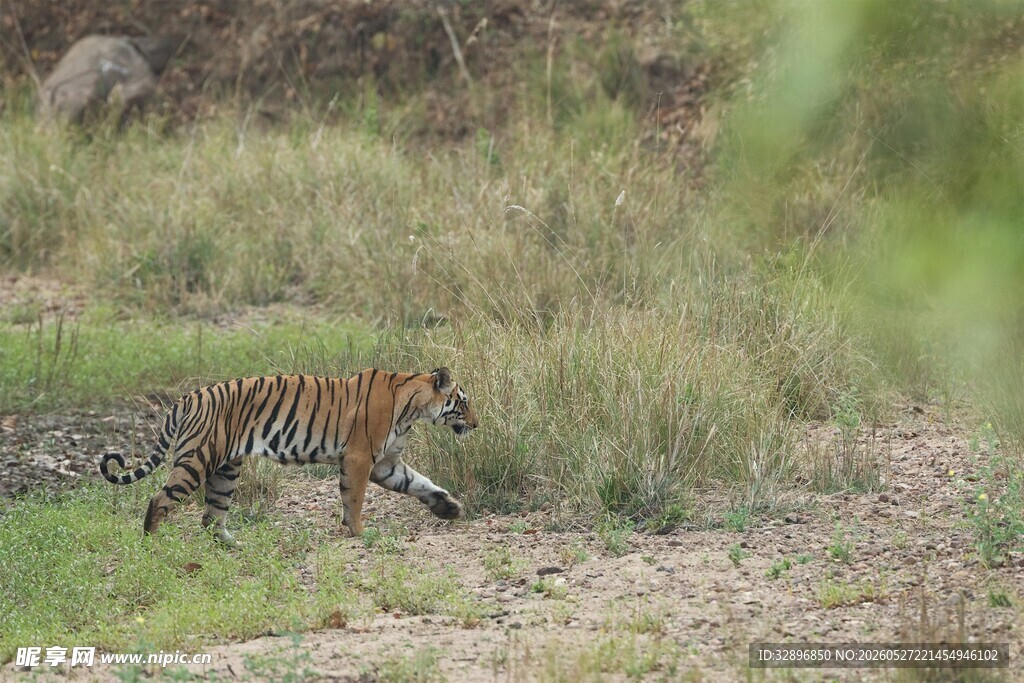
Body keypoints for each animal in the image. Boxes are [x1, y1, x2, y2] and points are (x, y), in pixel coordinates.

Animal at [99, 367, 478, 546]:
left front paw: (449, 508)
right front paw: (359, 532)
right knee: (159, 499)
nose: (476, 424)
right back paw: (151, 544)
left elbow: (420, 484)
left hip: (225, 470)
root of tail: (187, 397)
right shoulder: (359, 459)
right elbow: (354, 499)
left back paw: (235, 545)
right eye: (463, 402)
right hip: (197, 460)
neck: (414, 408)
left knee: (211, 517)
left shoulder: (386, 465)